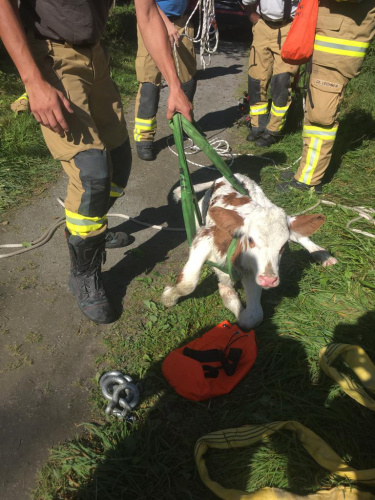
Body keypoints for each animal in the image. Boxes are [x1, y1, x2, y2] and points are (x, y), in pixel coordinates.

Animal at [162, 174, 338, 330]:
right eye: (251, 240)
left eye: (283, 246)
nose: (269, 280)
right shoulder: (204, 237)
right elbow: (188, 283)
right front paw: (168, 298)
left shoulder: (253, 271)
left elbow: (253, 317)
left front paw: (233, 303)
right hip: (199, 213)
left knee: (298, 234)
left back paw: (323, 255)